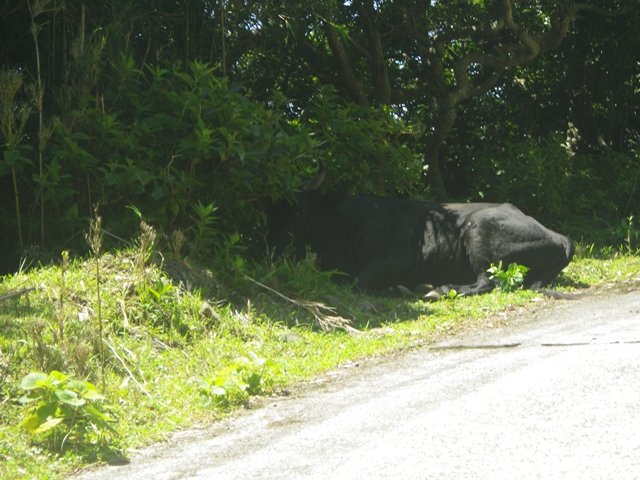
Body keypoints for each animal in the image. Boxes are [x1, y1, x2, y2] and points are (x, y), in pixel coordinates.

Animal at [266, 167, 576, 298]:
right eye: (271, 211)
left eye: (301, 211)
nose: (273, 247)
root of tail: (560, 237)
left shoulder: (395, 260)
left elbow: (358, 282)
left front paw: (395, 289)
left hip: (480, 233)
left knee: (488, 282)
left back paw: (438, 289)